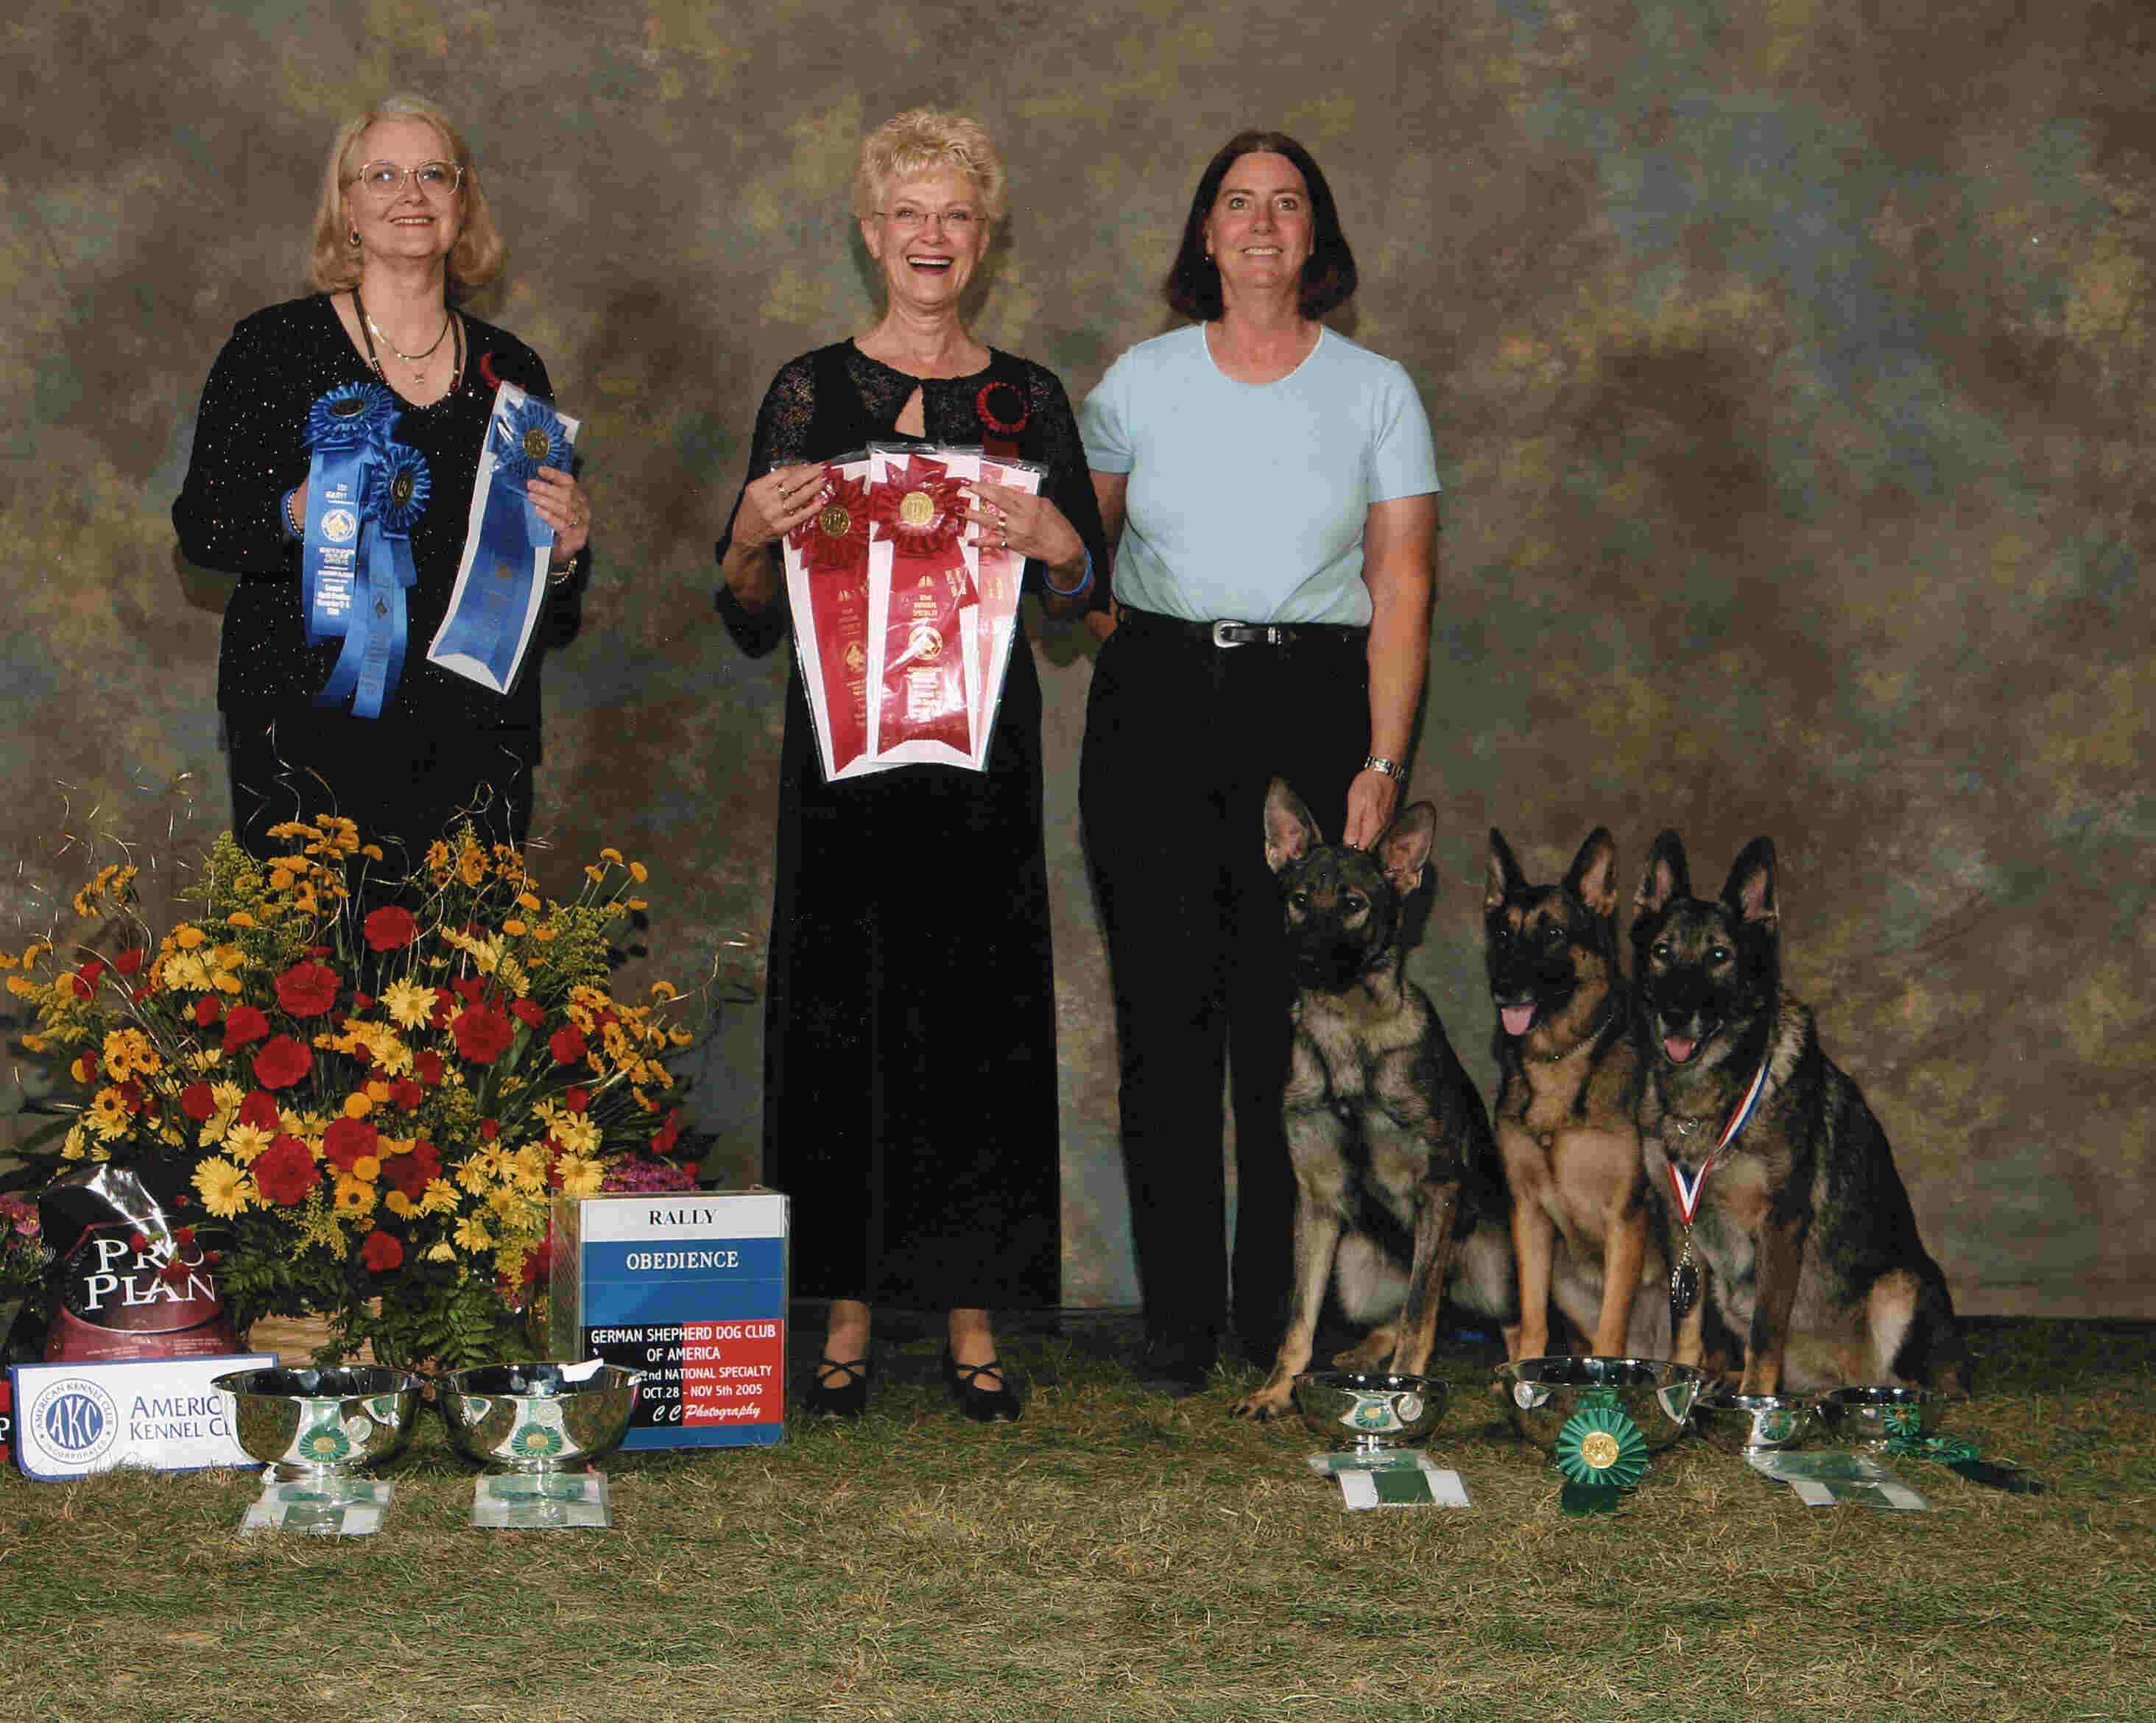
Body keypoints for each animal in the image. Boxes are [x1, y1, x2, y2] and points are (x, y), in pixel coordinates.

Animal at [1233, 789, 1518, 1423]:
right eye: (1299, 900)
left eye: (1353, 905)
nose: (1307, 961)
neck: (1349, 1034)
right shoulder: (1317, 1202)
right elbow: (1300, 1320)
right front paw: (1276, 1391)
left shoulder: (1437, 1191)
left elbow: (1419, 1314)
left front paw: (1404, 1392)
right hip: (1352, 1272)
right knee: (1391, 1314)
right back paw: (1365, 1352)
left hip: (1499, 1269)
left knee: (1511, 1322)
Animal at [1492, 828, 1673, 1371]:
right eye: (1503, 935)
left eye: (1552, 933)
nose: (1503, 988)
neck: (1557, 1059)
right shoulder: (1528, 1216)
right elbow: (1532, 1323)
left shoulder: (1625, 1221)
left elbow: (1611, 1333)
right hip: (1562, 1278)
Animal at [1630, 832, 1975, 1397]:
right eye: (1662, 952)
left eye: (1720, 955)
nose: (1677, 1013)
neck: (1712, 1101)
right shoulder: (1680, 1229)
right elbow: (1688, 1331)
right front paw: (1683, 1388)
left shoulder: (1780, 1224)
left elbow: (1766, 1330)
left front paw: (1753, 1402)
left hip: (1897, 1286)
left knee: (1897, 1378)